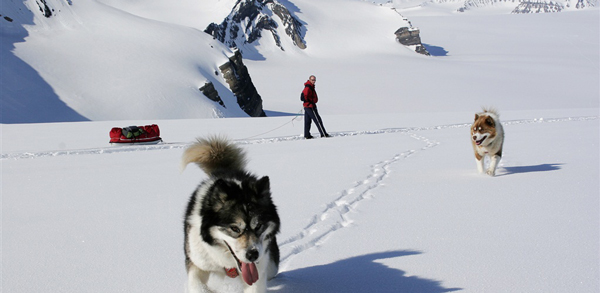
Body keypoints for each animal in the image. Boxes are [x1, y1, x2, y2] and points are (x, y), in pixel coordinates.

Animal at [182, 137, 280, 292]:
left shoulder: (258, 271)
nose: (253, 254)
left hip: (270, 264)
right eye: (234, 228)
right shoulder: (197, 263)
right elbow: (198, 286)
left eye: (258, 226)